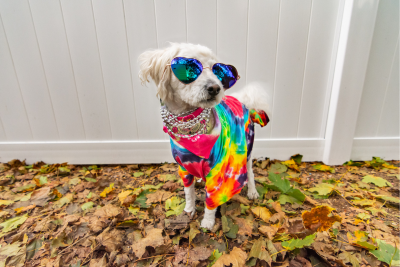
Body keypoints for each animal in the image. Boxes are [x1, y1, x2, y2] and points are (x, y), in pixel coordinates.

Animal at [139, 43, 270, 229]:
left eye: (218, 72)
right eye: (189, 68)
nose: (215, 88)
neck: (192, 134)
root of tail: (241, 100)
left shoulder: (217, 171)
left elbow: (211, 200)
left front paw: (208, 221)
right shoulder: (184, 167)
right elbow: (189, 192)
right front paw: (189, 210)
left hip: (247, 149)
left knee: (250, 173)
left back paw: (252, 192)